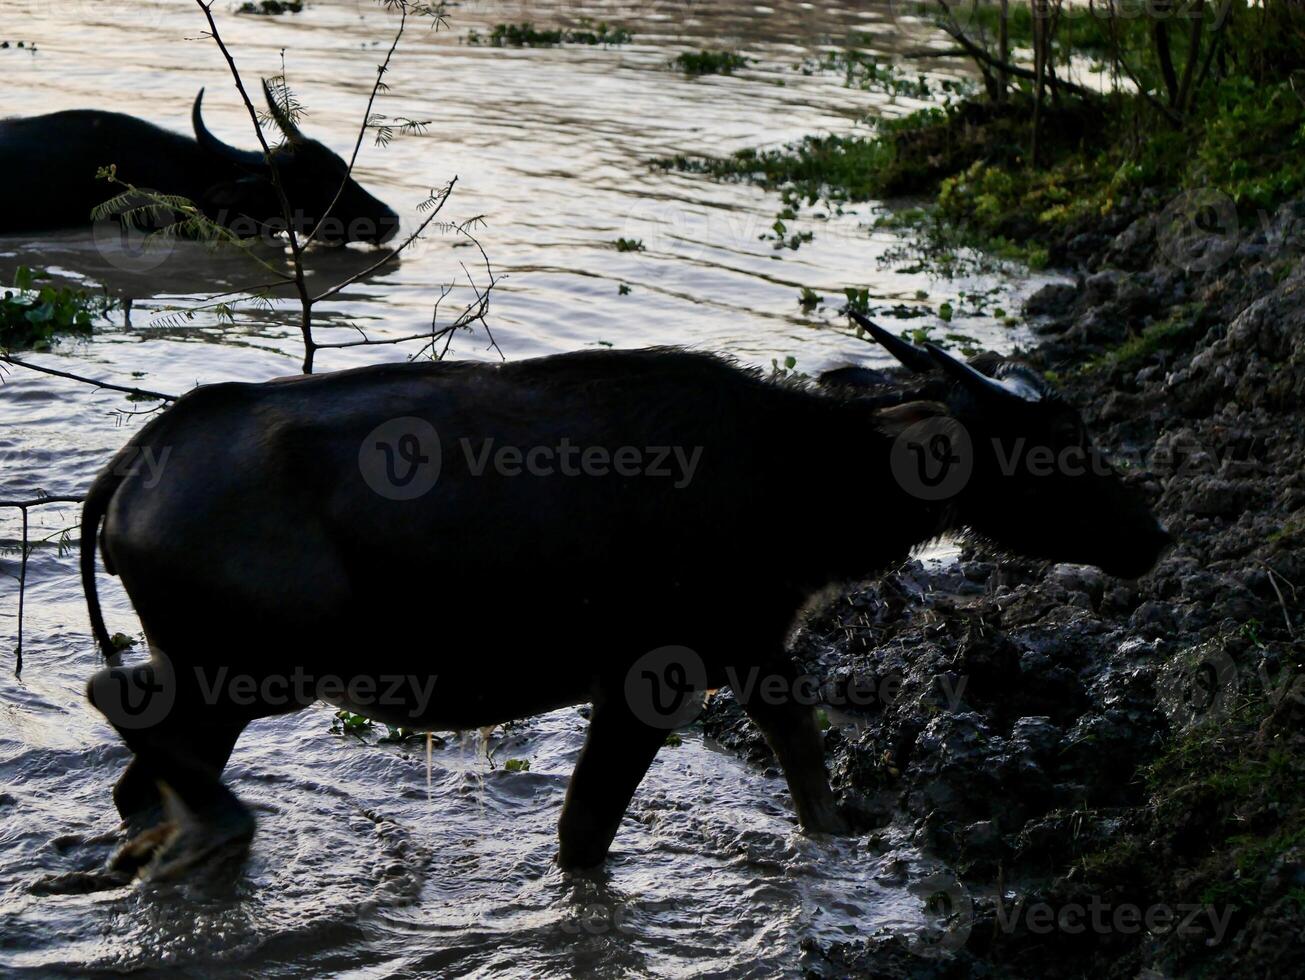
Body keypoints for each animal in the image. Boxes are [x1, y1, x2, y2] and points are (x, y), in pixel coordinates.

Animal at [76, 331, 1169, 882]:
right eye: (1052, 439)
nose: (1148, 531)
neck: (804, 488)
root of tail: (130, 466)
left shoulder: (758, 645)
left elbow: (810, 776)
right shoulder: (655, 673)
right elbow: (585, 832)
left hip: (212, 675)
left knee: (136, 778)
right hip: (251, 664)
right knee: (111, 699)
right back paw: (218, 830)